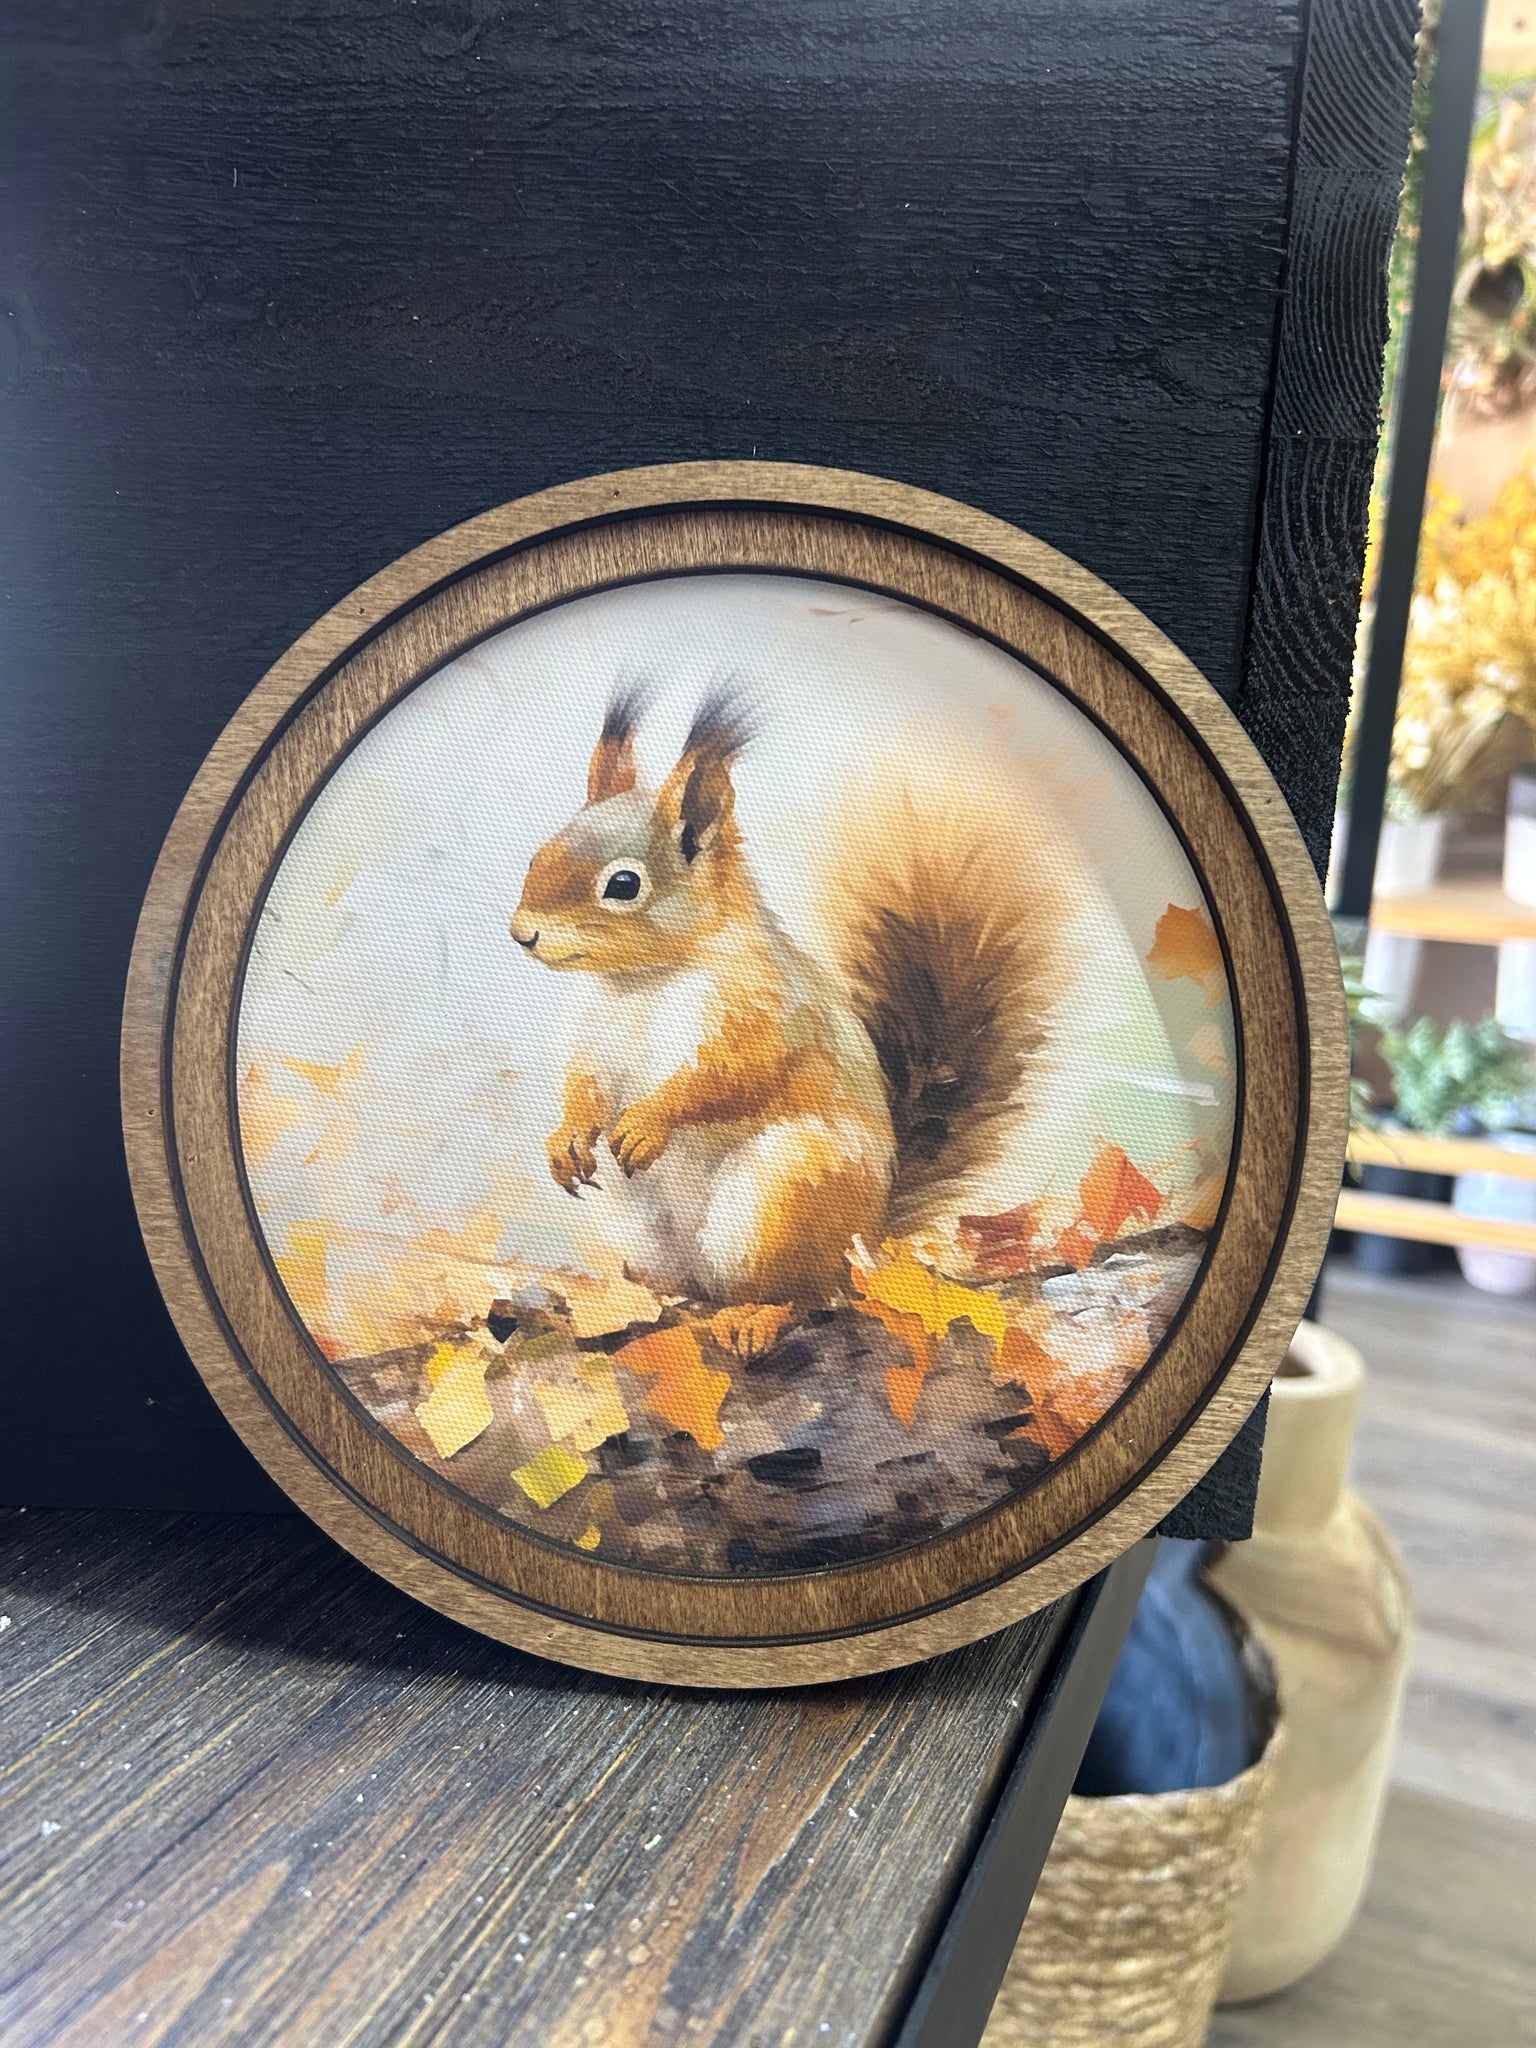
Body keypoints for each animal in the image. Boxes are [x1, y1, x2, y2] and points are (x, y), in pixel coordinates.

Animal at [509, 686, 1062, 1359]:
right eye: (539, 853)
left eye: (622, 884)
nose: (522, 933)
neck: (643, 980)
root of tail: (867, 1244)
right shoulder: (593, 1036)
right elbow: (585, 1086)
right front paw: (565, 1140)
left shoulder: (764, 1011)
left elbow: (735, 1074)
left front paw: (648, 1121)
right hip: (641, 1223)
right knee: (692, 1288)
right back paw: (657, 1307)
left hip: (786, 1193)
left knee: (804, 1293)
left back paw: (756, 1315)